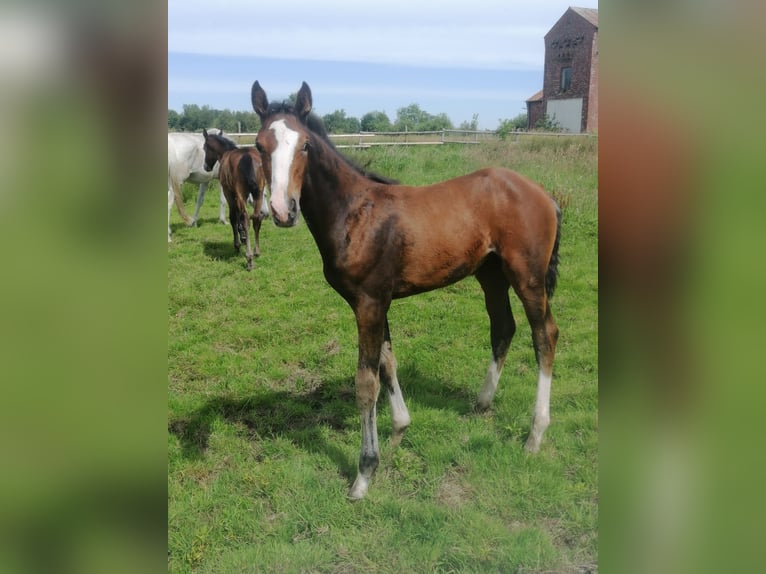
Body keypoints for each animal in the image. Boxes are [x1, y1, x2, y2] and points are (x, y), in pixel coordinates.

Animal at [201, 130, 270, 272]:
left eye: (205, 148)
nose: (206, 167)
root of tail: (248, 157)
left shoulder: (229, 192)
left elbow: (234, 217)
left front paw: (238, 243)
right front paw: (243, 236)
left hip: (241, 194)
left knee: (245, 218)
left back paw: (249, 259)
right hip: (258, 193)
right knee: (256, 217)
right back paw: (256, 251)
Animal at [255, 81, 560, 500]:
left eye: (305, 145)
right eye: (259, 146)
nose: (283, 210)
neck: (354, 214)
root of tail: (545, 194)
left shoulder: (368, 303)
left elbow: (365, 382)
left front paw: (364, 474)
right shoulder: (376, 302)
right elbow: (388, 363)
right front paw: (399, 429)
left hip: (527, 275)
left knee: (544, 334)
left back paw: (535, 435)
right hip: (491, 275)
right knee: (503, 327)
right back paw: (482, 404)